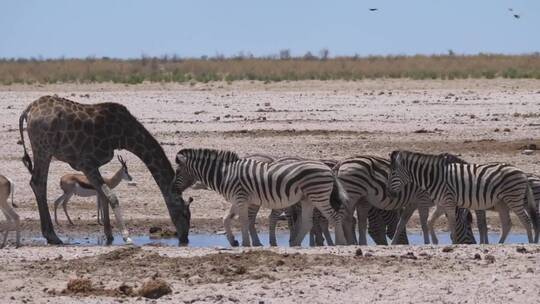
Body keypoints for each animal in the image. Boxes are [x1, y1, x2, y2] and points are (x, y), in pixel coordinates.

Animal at [19, 95, 191, 245]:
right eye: (184, 214)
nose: (184, 238)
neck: (123, 135)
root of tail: (28, 110)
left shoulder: (94, 164)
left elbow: (103, 195)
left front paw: (109, 235)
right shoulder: (86, 162)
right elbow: (112, 196)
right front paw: (126, 236)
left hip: (43, 150)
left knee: (38, 183)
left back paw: (51, 235)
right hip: (43, 148)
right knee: (38, 183)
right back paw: (52, 236)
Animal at [175, 148, 348, 247]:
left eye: (177, 172)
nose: (173, 189)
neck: (225, 174)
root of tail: (328, 168)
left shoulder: (240, 197)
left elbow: (243, 220)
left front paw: (245, 243)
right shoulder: (237, 199)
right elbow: (226, 218)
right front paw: (233, 241)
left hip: (319, 195)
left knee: (335, 217)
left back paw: (341, 243)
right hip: (308, 198)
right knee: (307, 222)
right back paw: (295, 244)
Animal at [388, 151, 536, 243]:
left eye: (393, 173)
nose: (390, 193)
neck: (435, 178)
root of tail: (522, 172)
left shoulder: (449, 202)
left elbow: (453, 226)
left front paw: (454, 243)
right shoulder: (442, 204)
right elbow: (430, 222)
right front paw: (435, 242)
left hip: (513, 199)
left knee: (527, 221)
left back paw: (530, 243)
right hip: (502, 202)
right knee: (507, 224)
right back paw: (500, 244)